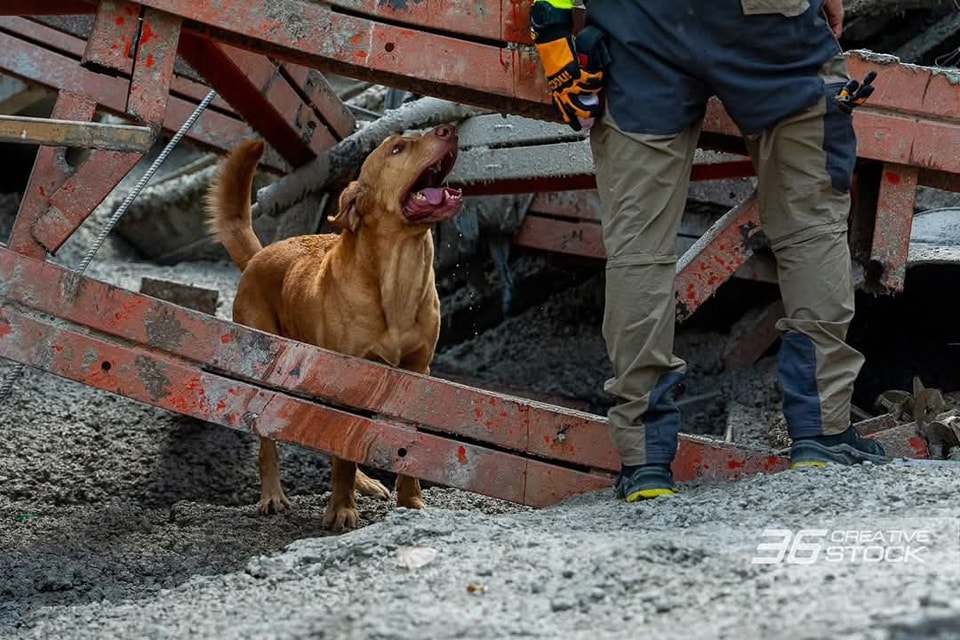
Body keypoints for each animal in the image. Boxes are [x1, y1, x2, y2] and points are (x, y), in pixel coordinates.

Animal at [206, 124, 464, 528]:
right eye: (397, 148)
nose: (448, 129)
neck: (398, 278)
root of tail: (260, 255)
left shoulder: (416, 374)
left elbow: (399, 448)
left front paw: (411, 502)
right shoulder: (350, 376)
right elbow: (342, 453)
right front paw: (341, 509)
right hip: (272, 371)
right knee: (270, 442)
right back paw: (272, 495)